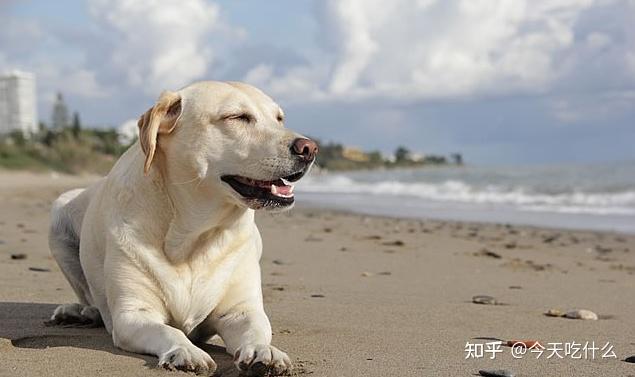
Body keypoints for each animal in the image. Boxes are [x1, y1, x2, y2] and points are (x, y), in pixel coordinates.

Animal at [47, 81, 320, 374]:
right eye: (237, 117)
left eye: (279, 118)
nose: (309, 148)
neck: (194, 236)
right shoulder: (132, 315)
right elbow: (169, 331)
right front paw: (186, 350)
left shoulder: (241, 310)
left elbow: (257, 329)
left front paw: (264, 351)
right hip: (58, 212)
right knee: (88, 295)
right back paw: (81, 312)